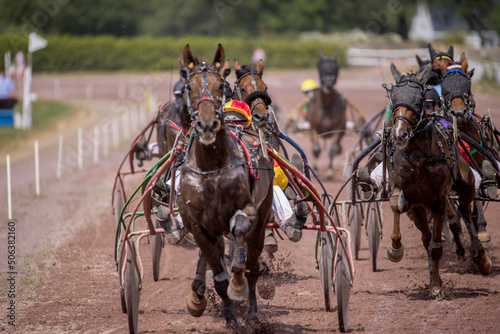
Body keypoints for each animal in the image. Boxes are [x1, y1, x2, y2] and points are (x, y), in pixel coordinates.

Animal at [178, 43, 276, 328]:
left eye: (221, 85)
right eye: (189, 87)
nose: (207, 124)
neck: (211, 168)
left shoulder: (250, 209)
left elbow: (240, 227)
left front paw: (238, 284)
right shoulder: (198, 227)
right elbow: (219, 276)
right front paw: (230, 319)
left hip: (264, 214)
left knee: (253, 265)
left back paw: (252, 313)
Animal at [306, 51, 346, 179]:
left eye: (335, 67)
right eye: (320, 67)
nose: (328, 82)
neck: (326, 107)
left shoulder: (338, 128)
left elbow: (332, 150)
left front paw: (329, 171)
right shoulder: (312, 127)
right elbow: (316, 149)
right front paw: (315, 169)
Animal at [384, 63, 490, 298]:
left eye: (418, 99)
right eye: (394, 98)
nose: (399, 134)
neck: (421, 155)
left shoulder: (440, 200)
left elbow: (438, 246)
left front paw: (435, 288)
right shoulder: (409, 196)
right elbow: (396, 203)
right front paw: (395, 249)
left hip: (465, 185)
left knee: (467, 215)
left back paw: (481, 257)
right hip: (421, 208)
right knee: (427, 237)